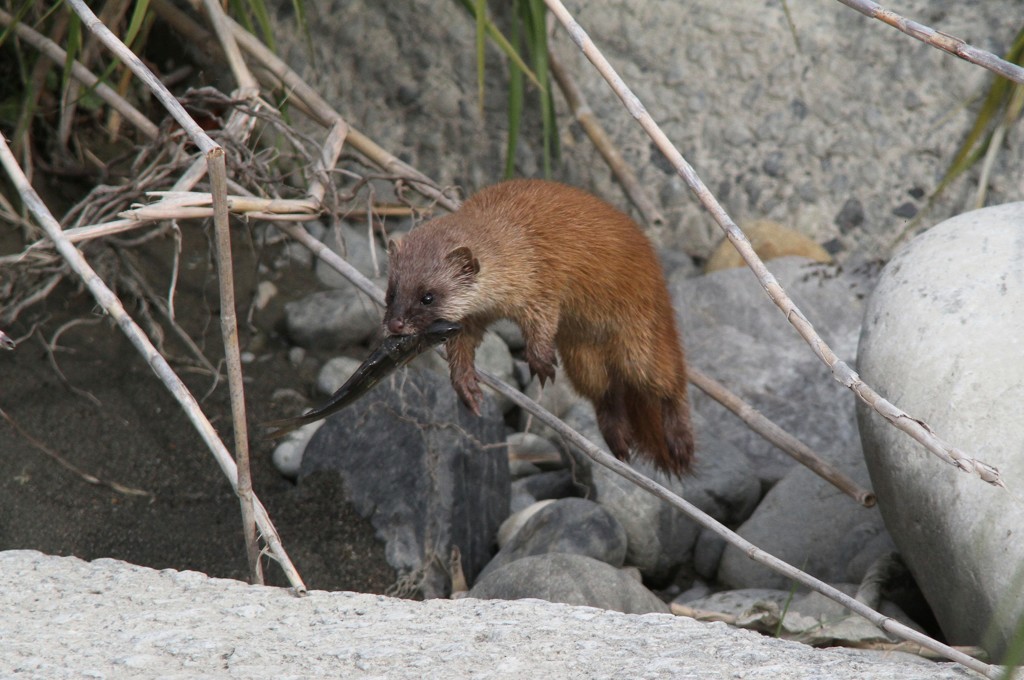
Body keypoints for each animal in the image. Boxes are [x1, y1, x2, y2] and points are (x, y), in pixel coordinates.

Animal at [385, 178, 696, 475]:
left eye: (428, 296)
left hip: (641, 341)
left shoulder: (542, 284)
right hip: (583, 358)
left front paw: (541, 362)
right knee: (606, 392)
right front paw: (467, 387)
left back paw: (680, 445)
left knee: (670, 382)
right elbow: (462, 347)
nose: (395, 324)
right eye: (391, 291)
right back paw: (618, 442)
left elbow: (542, 321)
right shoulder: (472, 317)